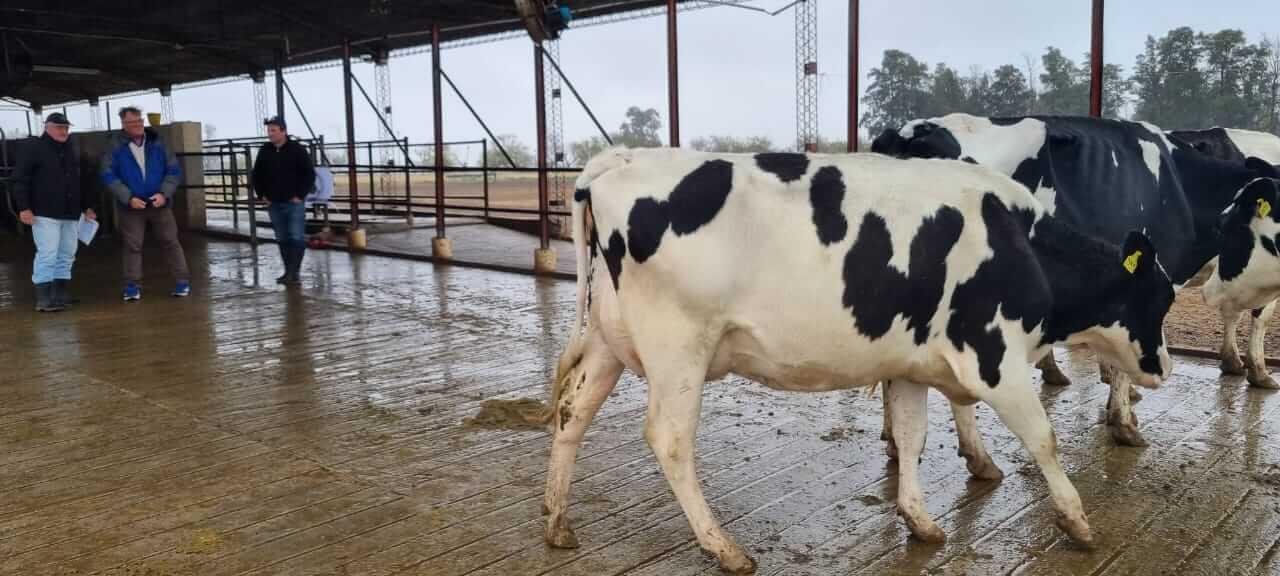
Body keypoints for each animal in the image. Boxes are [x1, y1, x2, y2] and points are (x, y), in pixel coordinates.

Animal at [540, 146, 1174, 574]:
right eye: (1159, 298)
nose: (1164, 366)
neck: (1023, 246)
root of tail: (624, 159)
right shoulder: (996, 361)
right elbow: (1043, 440)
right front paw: (1077, 521)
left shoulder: (911, 364)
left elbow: (913, 438)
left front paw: (920, 520)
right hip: (679, 348)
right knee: (669, 439)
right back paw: (723, 547)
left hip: (608, 341)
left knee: (572, 412)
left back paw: (557, 521)